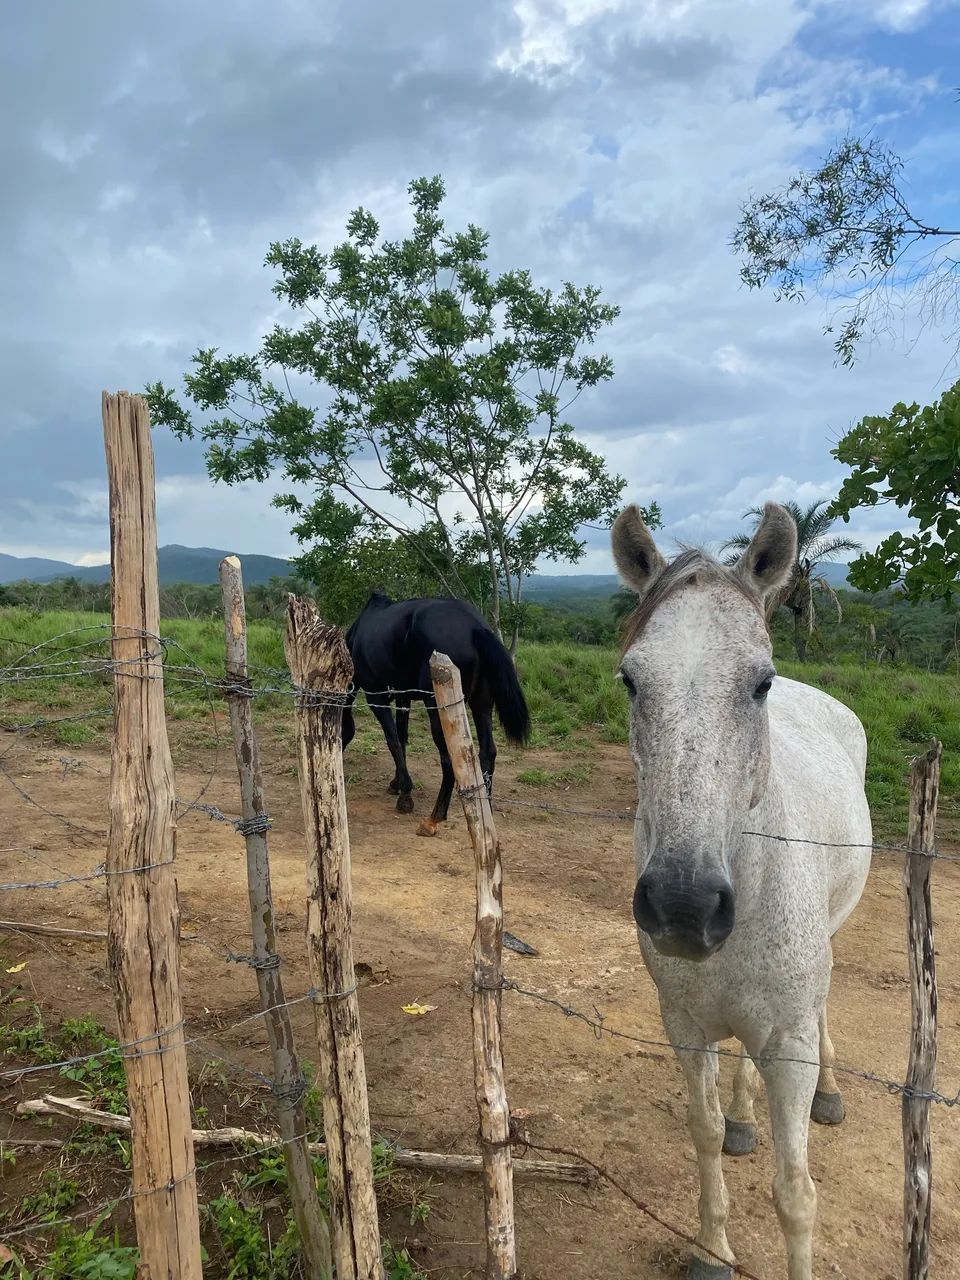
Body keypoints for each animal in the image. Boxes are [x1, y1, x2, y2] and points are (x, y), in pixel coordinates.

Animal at [342, 592, 531, 836]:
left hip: (438, 711)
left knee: (449, 760)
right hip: (481, 704)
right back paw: (484, 809)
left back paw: (434, 818)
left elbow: (393, 742)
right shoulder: (404, 699)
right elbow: (402, 740)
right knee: (488, 752)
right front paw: (397, 784)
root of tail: (476, 627)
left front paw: (405, 795)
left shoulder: (377, 698)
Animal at [610, 502, 871, 1280]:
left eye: (760, 682)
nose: (683, 907)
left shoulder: (787, 1040)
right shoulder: (685, 1026)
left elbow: (796, 1194)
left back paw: (831, 1096)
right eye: (630, 680)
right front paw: (711, 1249)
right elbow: (699, 1133)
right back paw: (744, 1121)